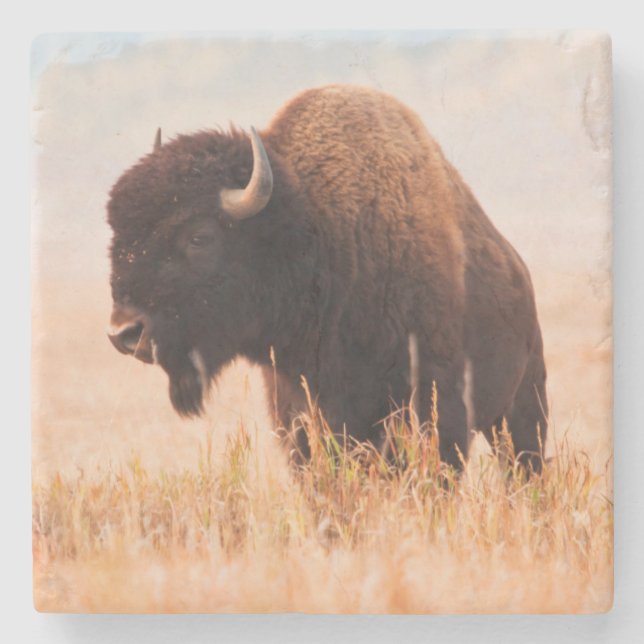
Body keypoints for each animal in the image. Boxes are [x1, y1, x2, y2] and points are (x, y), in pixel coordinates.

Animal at [107, 85, 548, 471]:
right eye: (119, 234)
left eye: (199, 237)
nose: (124, 332)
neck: (318, 233)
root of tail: (519, 270)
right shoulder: (300, 416)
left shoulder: (436, 409)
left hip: (523, 407)